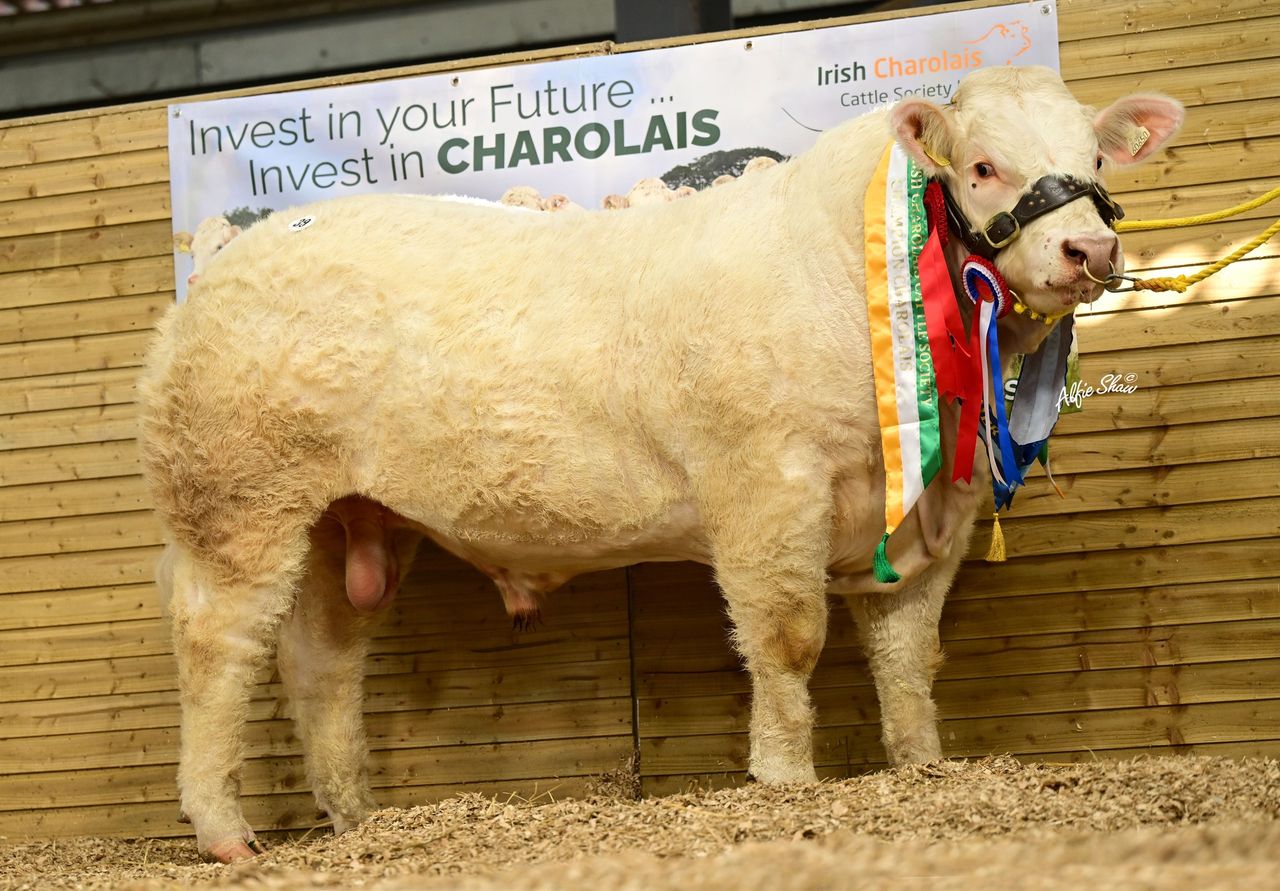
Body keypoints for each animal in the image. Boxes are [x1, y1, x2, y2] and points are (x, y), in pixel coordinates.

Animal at [138, 65, 1182, 862]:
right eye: (982, 165)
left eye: (1094, 160)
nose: (1089, 246)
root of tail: (216, 276)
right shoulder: (768, 484)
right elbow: (787, 638)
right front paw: (785, 781)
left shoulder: (937, 504)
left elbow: (908, 655)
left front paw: (921, 771)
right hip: (240, 501)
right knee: (216, 648)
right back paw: (226, 832)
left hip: (347, 518)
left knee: (321, 661)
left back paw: (358, 820)